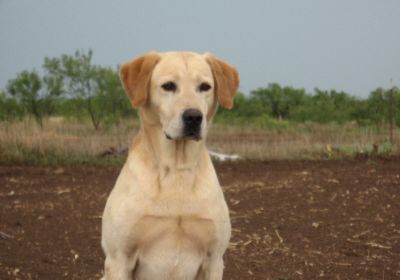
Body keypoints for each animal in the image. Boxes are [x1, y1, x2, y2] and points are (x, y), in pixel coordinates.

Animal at [101, 51, 238, 278]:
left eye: (205, 86)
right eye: (168, 86)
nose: (193, 117)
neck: (177, 168)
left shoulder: (214, 259)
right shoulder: (119, 259)